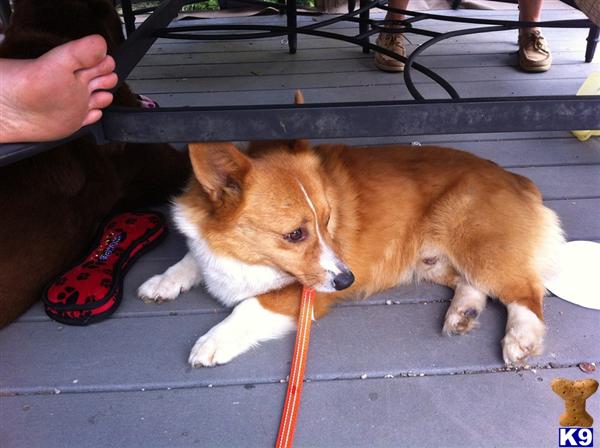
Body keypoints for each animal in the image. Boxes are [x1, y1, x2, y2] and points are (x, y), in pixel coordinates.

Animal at [138, 99, 564, 368]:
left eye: (328, 220)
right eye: (295, 234)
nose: (348, 280)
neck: (243, 253)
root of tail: (517, 178)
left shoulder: (303, 293)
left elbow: (250, 306)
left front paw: (213, 341)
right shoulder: (208, 246)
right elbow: (191, 258)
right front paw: (162, 282)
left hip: (478, 243)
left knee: (526, 292)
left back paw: (521, 336)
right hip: (433, 261)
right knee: (471, 284)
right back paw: (463, 312)